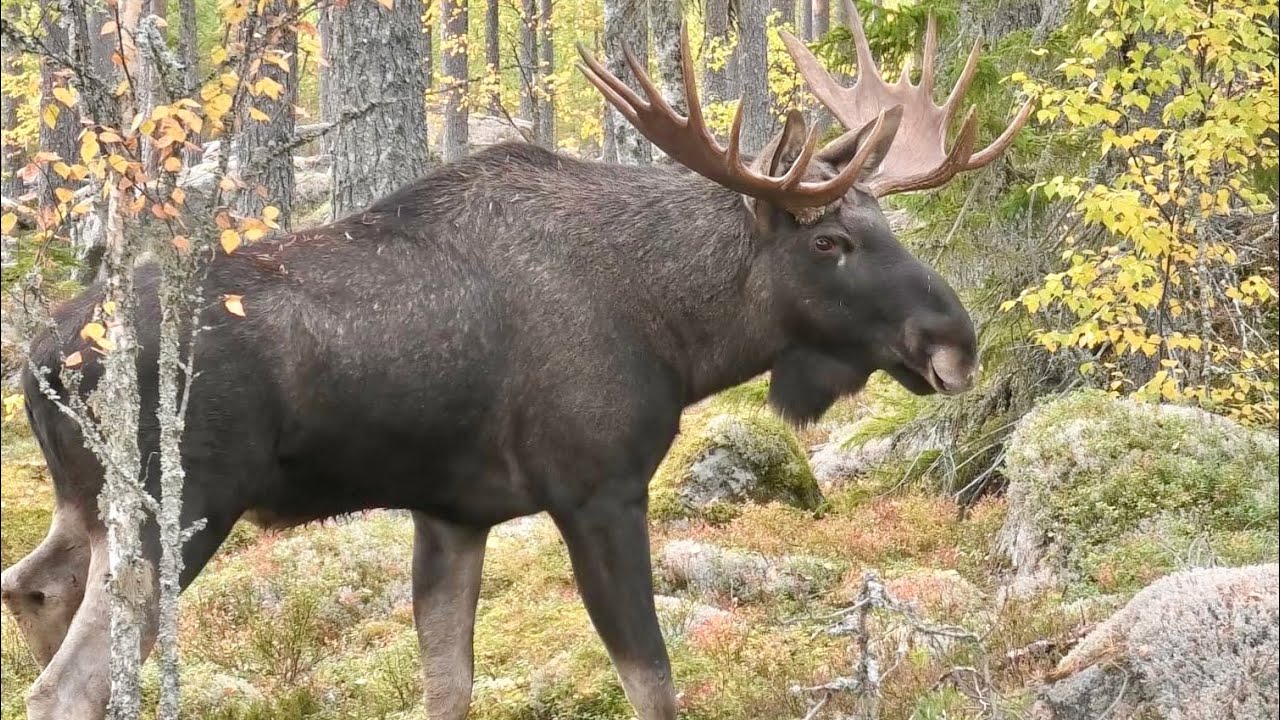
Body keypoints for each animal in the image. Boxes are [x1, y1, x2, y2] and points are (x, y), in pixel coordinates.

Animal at [2, 3, 1029, 718]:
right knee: (64, 686)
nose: (955, 342)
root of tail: (39, 359)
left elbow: (448, 683)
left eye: (887, 223)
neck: (675, 333)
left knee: (31, 585)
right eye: (830, 243)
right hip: (177, 504)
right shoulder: (598, 489)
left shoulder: (454, 514)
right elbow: (652, 680)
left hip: (90, 507)